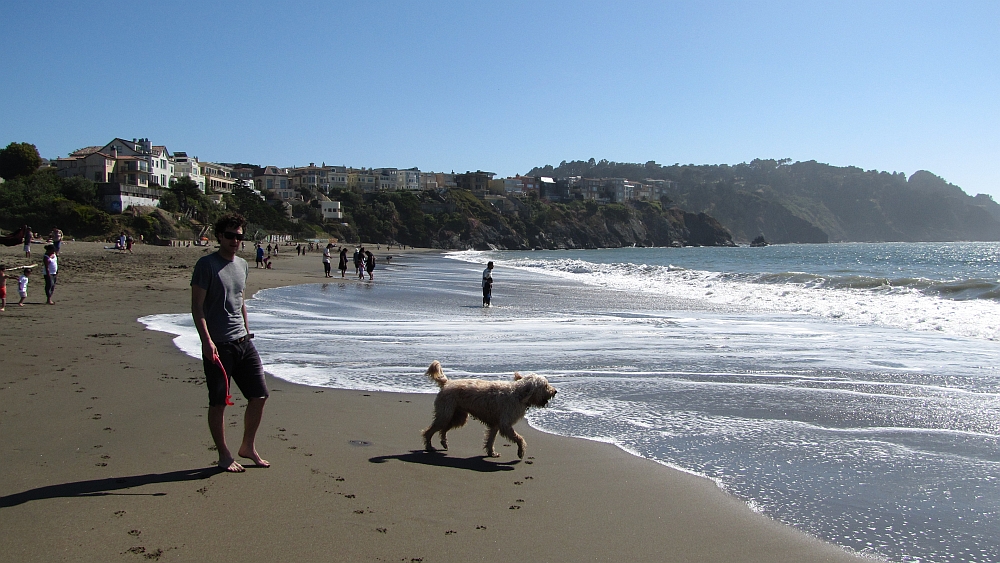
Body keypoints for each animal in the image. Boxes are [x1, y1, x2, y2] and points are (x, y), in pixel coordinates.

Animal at [420, 362, 560, 458]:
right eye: (545, 385)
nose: (555, 391)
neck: (518, 394)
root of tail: (447, 383)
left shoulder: (495, 425)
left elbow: (490, 440)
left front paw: (491, 453)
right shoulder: (504, 424)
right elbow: (519, 438)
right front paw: (521, 451)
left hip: (458, 417)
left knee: (443, 429)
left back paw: (443, 443)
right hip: (445, 414)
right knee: (429, 431)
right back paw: (429, 446)